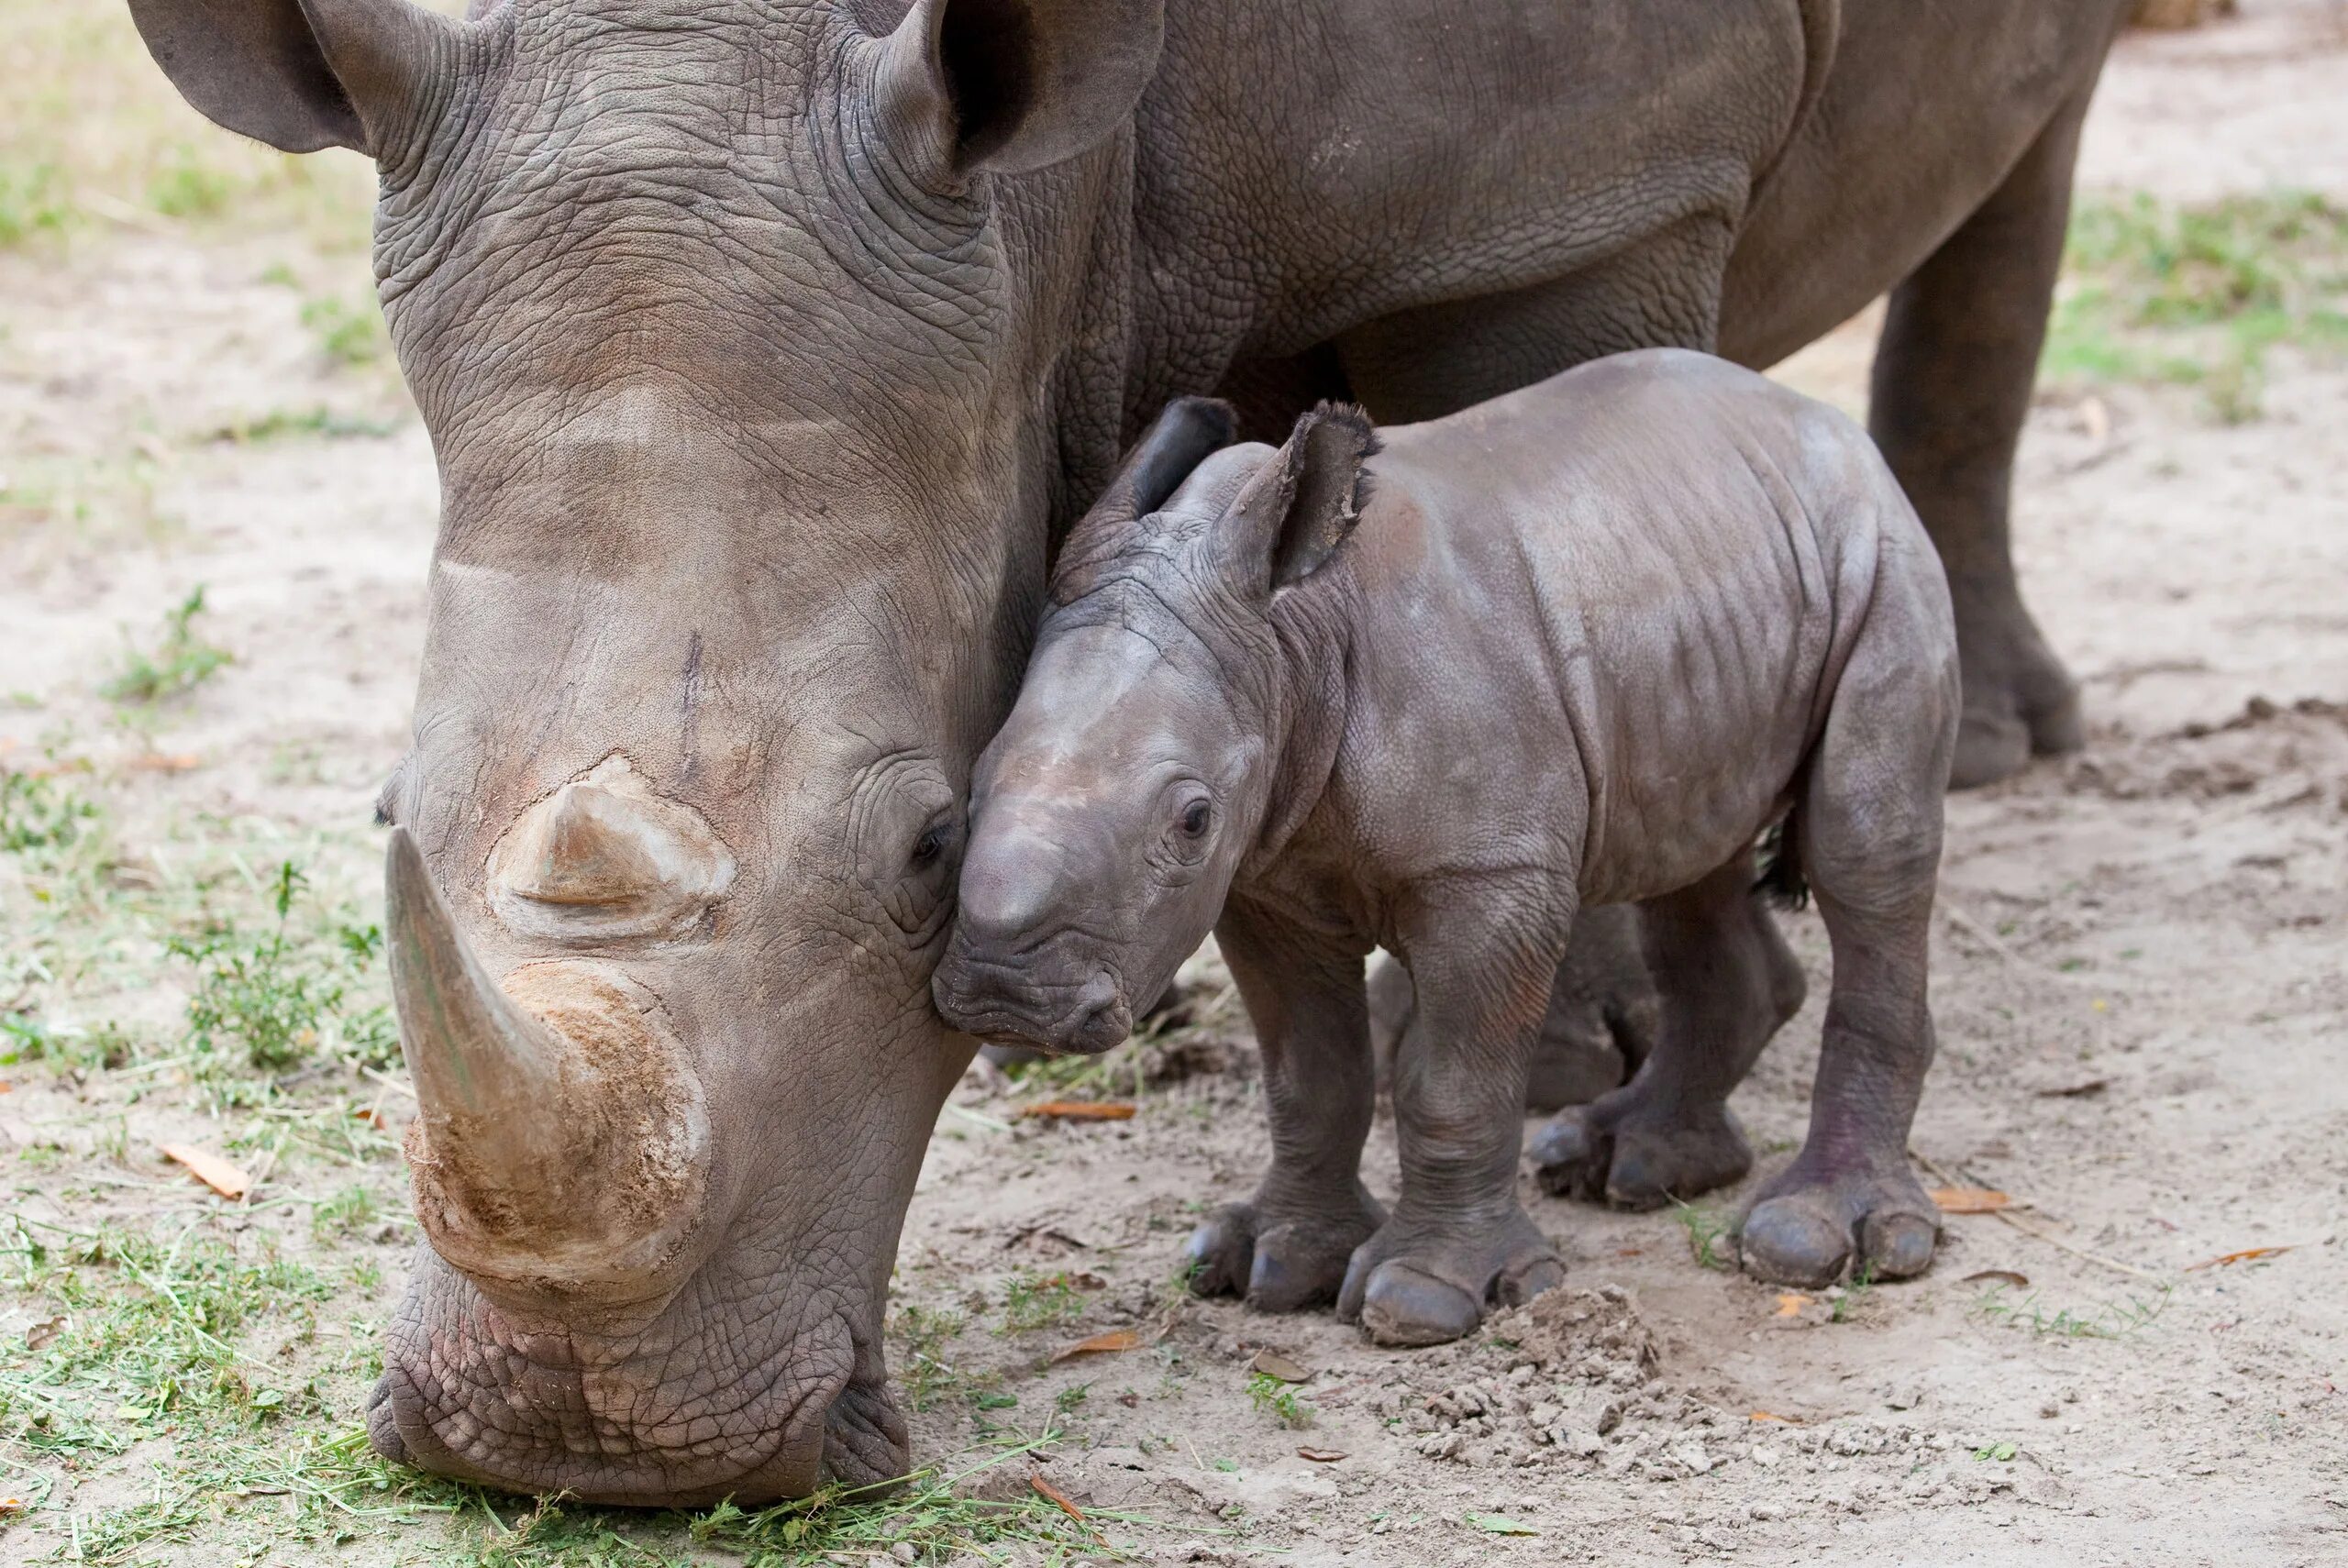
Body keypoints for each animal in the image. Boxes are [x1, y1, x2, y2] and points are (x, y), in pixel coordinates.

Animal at [934, 349, 1963, 1342]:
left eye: (1191, 820)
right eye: (968, 789)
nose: (1004, 997)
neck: (1290, 642)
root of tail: (1816, 421)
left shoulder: (1489, 874)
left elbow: (1453, 1082)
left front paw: (1422, 1301)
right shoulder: (1265, 879)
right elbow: (1309, 1075)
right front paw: (1271, 1268)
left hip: (1882, 557)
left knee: (1865, 855)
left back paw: (1812, 1245)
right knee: (1691, 859)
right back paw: (1626, 1166)